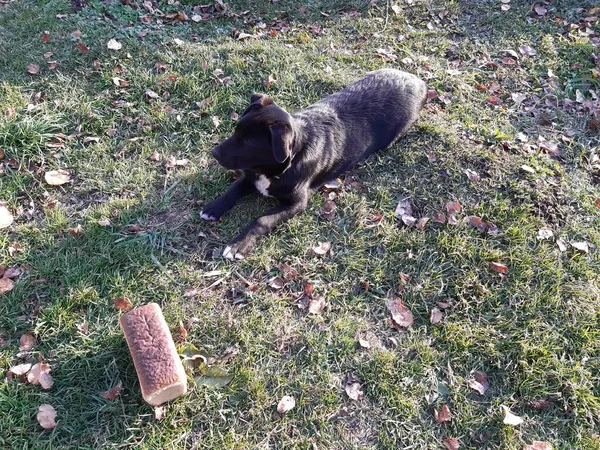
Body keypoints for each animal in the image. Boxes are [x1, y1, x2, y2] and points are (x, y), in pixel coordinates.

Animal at [202, 70, 426, 260]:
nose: (214, 153)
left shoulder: (297, 203)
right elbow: (235, 187)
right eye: (236, 130)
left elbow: (262, 220)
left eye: (249, 141)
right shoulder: (252, 175)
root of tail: (418, 81)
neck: (281, 166)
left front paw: (239, 244)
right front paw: (214, 207)